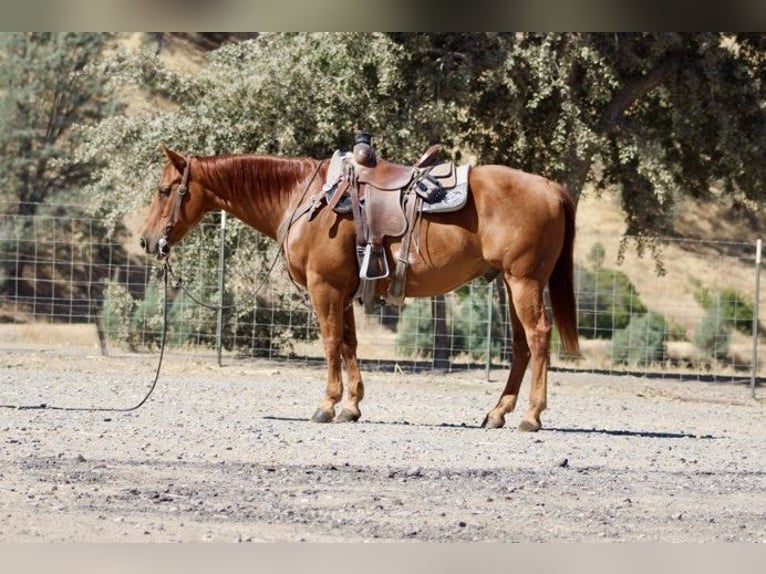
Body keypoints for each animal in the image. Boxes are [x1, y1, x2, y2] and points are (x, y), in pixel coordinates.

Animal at [139, 145, 580, 431]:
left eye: (164, 190)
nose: (147, 241)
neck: (306, 199)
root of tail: (551, 188)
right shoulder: (344, 291)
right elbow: (350, 343)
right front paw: (351, 406)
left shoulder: (324, 287)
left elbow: (331, 342)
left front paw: (327, 405)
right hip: (511, 283)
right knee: (521, 345)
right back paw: (497, 413)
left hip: (524, 281)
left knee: (538, 337)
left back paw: (531, 416)